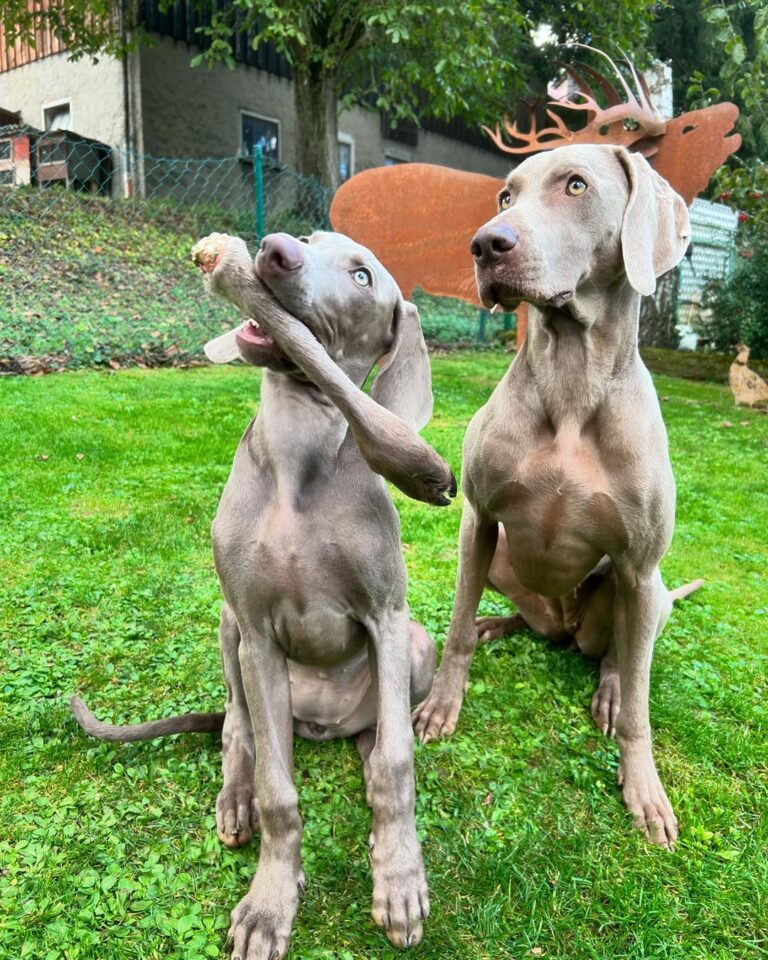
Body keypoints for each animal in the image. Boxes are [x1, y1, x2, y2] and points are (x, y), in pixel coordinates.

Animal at [70, 229, 456, 956]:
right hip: (232, 636)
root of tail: (325, 722)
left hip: (416, 644)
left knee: (376, 740)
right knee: (237, 729)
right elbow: (280, 790)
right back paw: (235, 798)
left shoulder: (388, 617)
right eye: (308, 239)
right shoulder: (256, 629)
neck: (300, 457)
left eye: (362, 276)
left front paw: (399, 878)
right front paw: (270, 903)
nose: (275, 250)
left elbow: (398, 763)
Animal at [414, 144, 704, 848]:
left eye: (576, 186)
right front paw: (441, 704)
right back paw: (499, 623)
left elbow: (640, 704)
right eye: (505, 196)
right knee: (525, 620)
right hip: (505, 564)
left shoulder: (639, 564)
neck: (573, 380)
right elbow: (455, 631)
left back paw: (608, 690)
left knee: (623, 656)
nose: (485, 245)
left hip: (645, 594)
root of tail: (566, 625)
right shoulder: (478, 520)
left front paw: (644, 790)